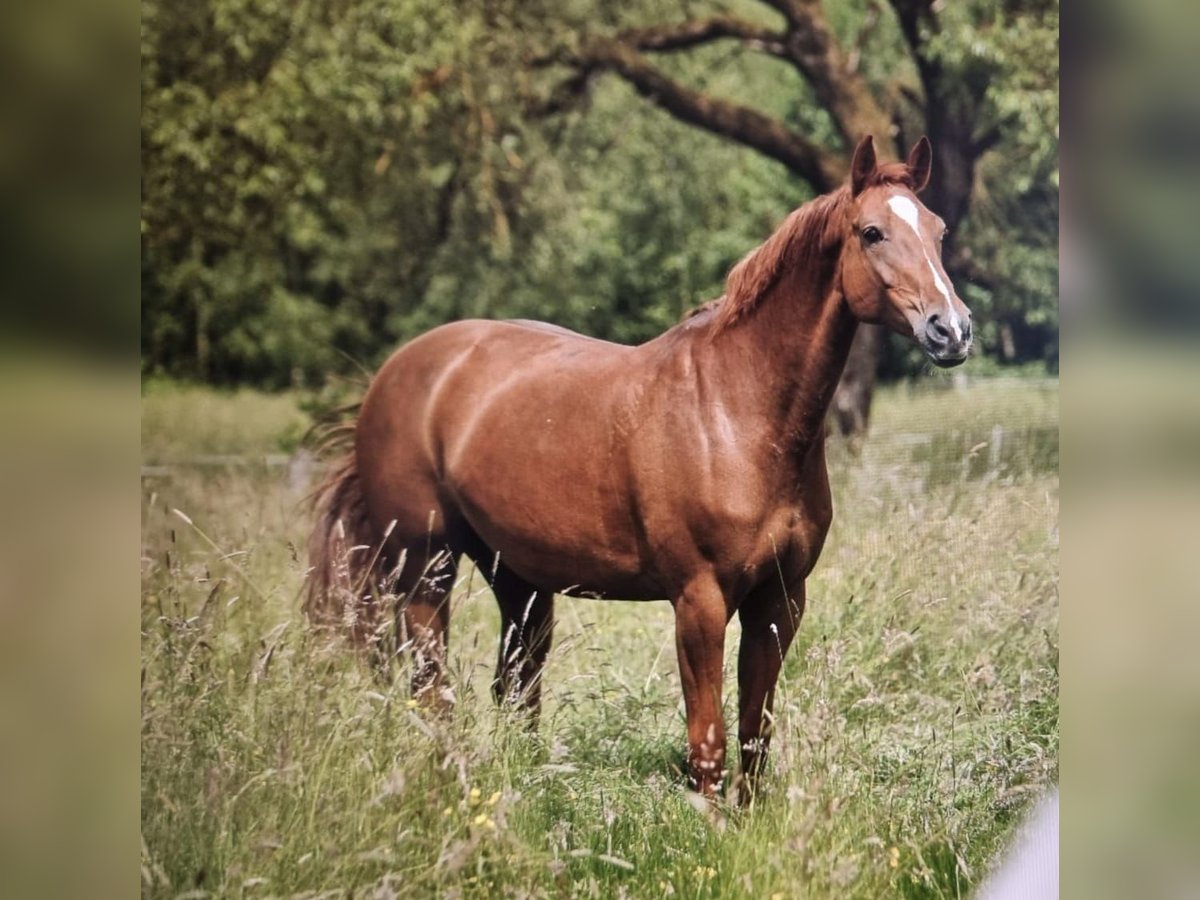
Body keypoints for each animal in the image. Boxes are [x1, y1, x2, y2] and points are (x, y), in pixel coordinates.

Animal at [304, 137, 969, 801]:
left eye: (937, 230)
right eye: (871, 232)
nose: (952, 329)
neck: (736, 410)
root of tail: (394, 374)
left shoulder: (780, 600)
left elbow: (755, 736)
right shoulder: (699, 602)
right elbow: (708, 741)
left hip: (518, 579)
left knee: (516, 688)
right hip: (427, 572)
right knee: (433, 689)